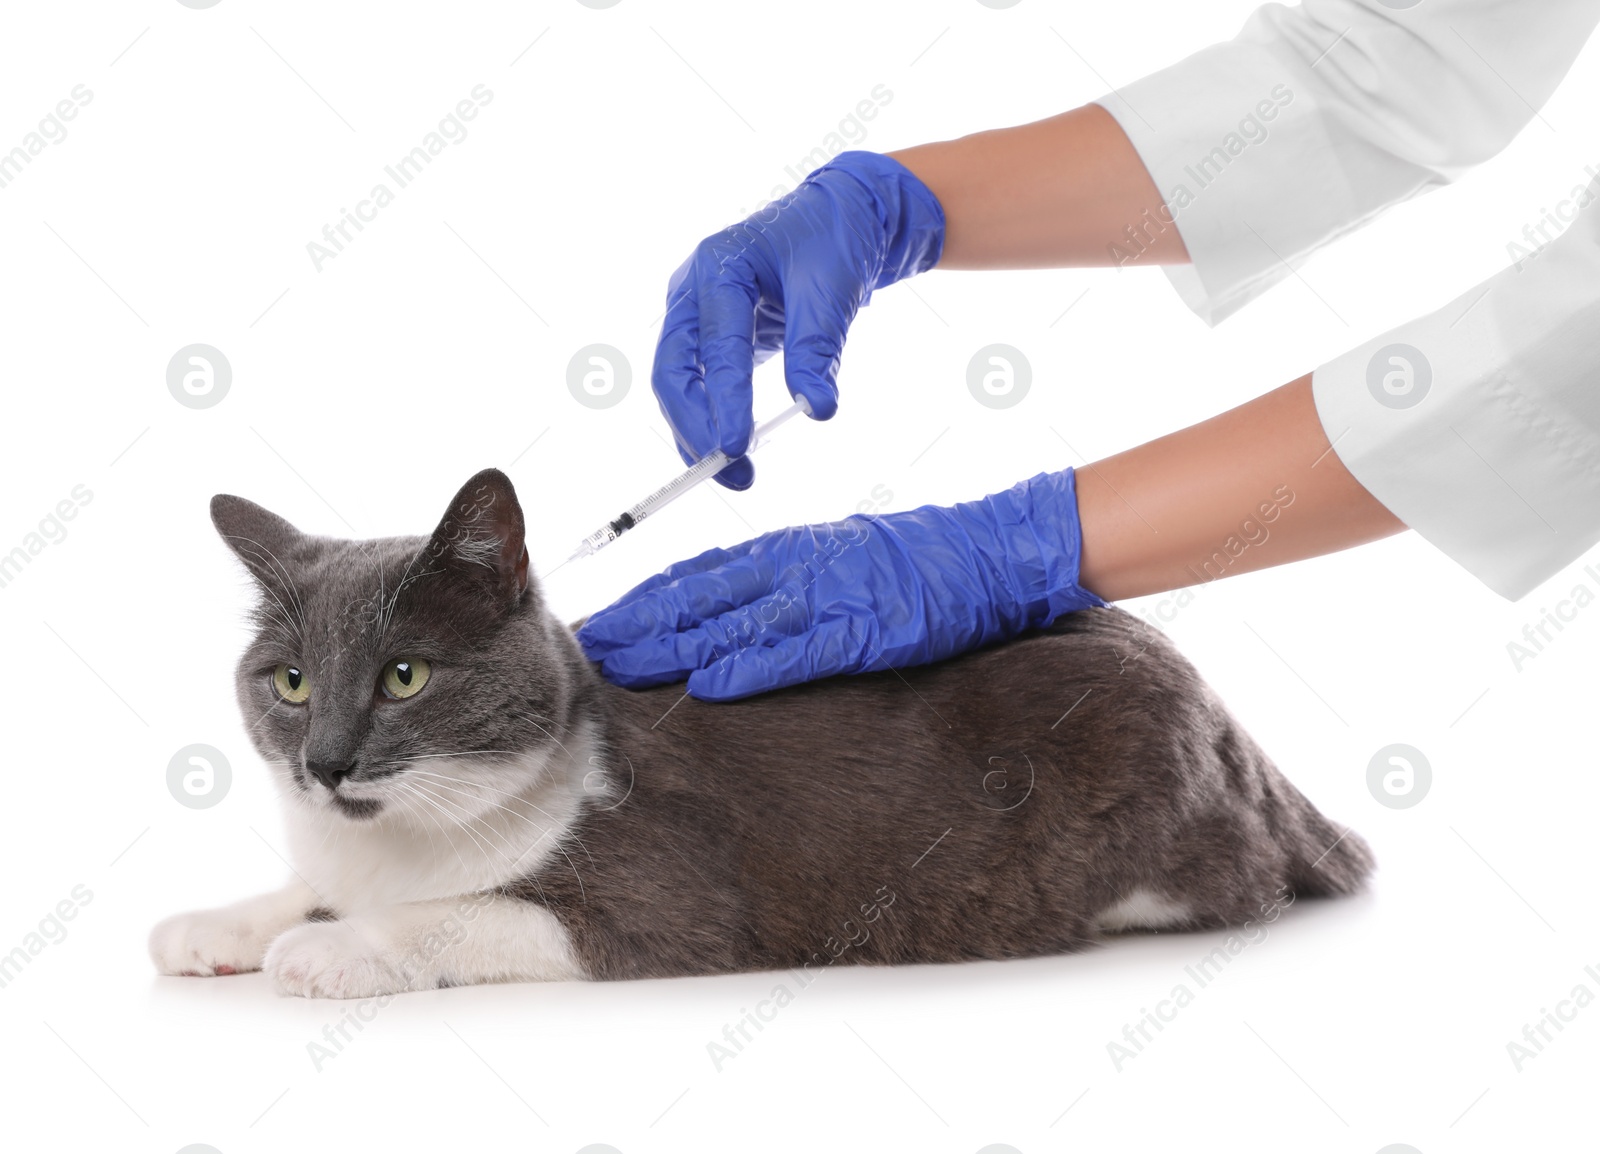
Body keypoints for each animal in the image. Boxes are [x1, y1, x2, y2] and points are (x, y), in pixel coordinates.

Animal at [150, 467, 1369, 998]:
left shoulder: (666, 900)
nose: (325, 761)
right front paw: (220, 923)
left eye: (403, 675)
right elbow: (306, 886)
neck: (396, 838)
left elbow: (463, 913)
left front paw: (335, 947)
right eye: (292, 683)